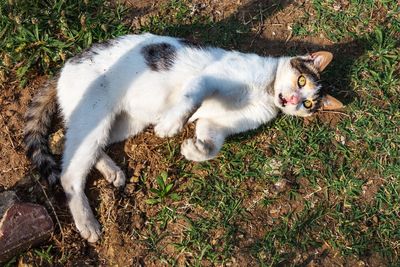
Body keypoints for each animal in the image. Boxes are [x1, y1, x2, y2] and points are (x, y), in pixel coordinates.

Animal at [25, 32, 344, 244]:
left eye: (308, 104)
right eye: (301, 81)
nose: (292, 100)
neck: (264, 92)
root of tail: (64, 67)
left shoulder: (216, 124)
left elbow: (211, 145)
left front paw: (194, 149)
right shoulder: (209, 78)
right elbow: (192, 97)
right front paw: (172, 125)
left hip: (123, 123)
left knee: (65, 141)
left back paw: (111, 170)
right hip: (95, 115)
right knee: (68, 172)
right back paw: (87, 222)